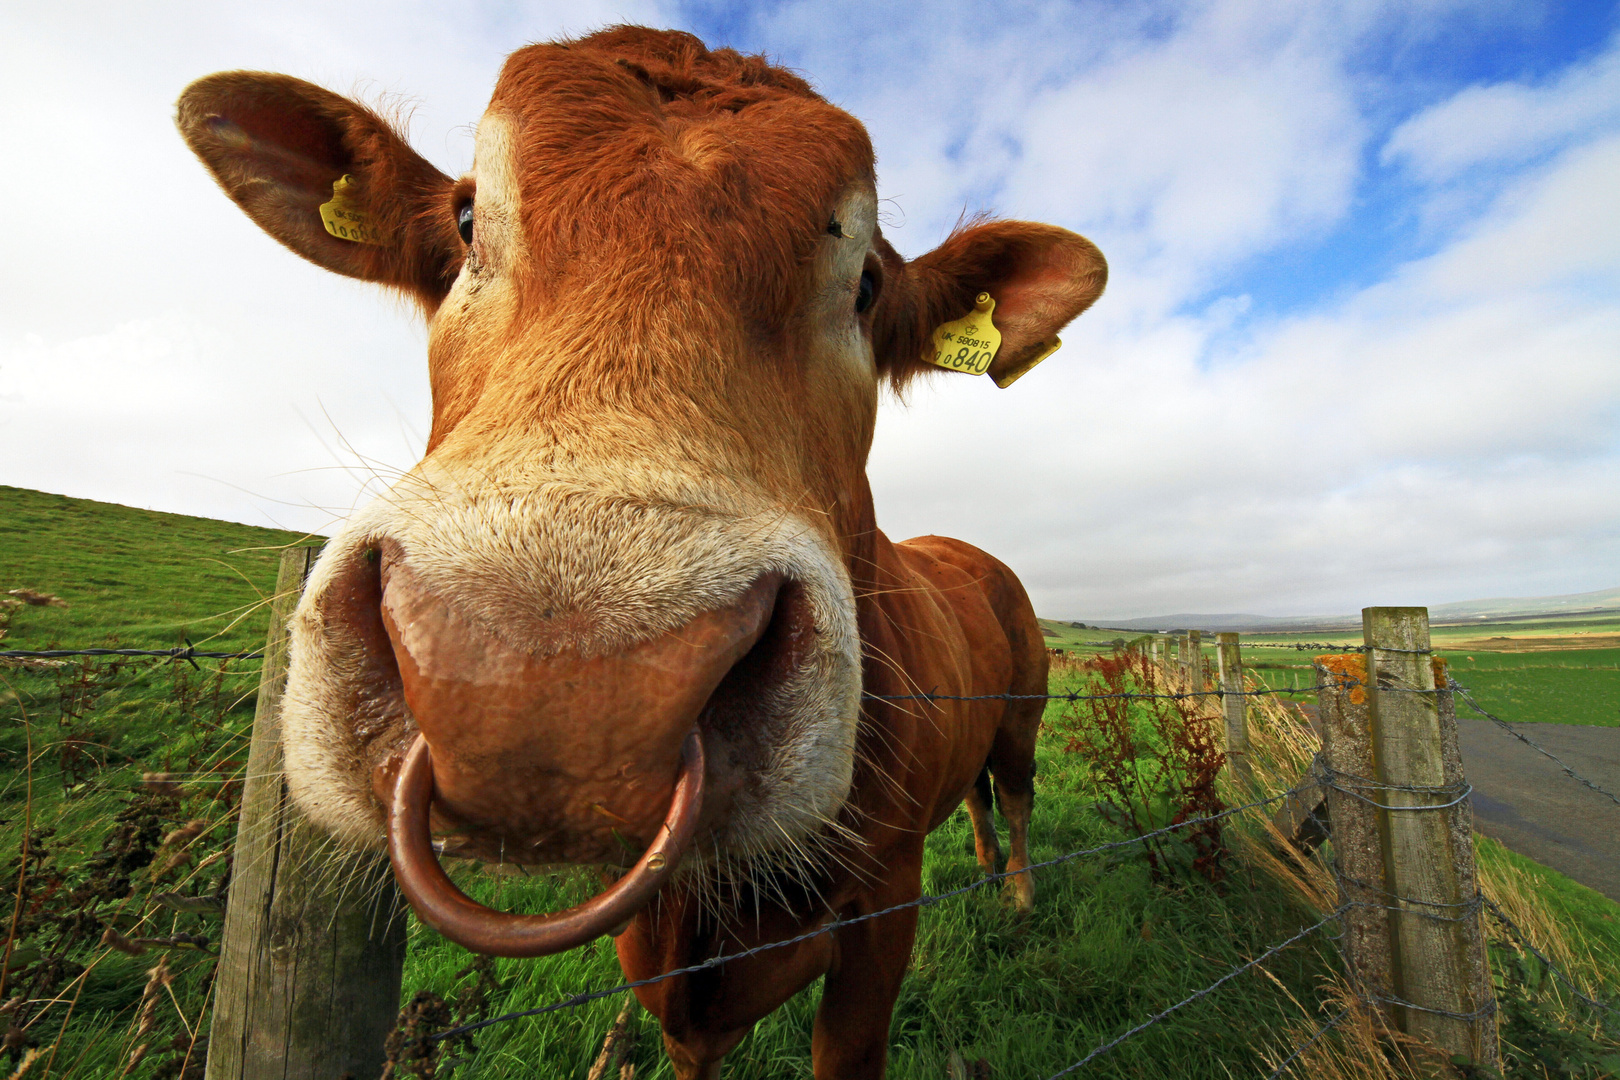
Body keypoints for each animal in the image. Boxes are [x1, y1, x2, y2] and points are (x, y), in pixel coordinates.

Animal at [183, 27, 1108, 1080]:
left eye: (868, 285)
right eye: (465, 217)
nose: (553, 690)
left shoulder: (883, 907)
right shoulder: (665, 975)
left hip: (1025, 713)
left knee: (1018, 796)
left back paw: (1019, 893)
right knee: (984, 803)